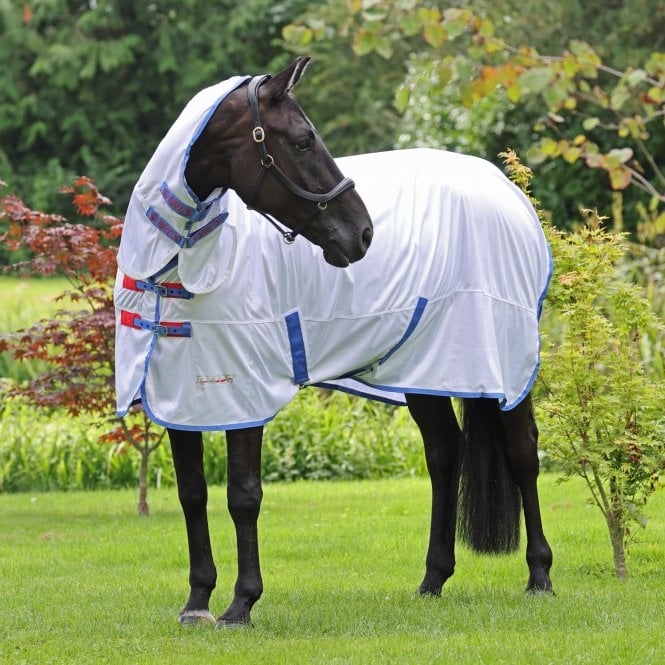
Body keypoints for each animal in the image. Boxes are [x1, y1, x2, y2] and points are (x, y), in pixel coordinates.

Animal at [114, 56, 554, 629]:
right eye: (303, 141)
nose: (363, 234)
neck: (183, 262)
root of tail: (508, 190)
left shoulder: (244, 393)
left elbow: (243, 496)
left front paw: (241, 604)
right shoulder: (178, 395)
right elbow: (193, 494)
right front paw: (196, 603)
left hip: (504, 362)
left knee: (523, 453)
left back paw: (540, 576)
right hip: (428, 370)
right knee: (443, 454)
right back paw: (432, 580)